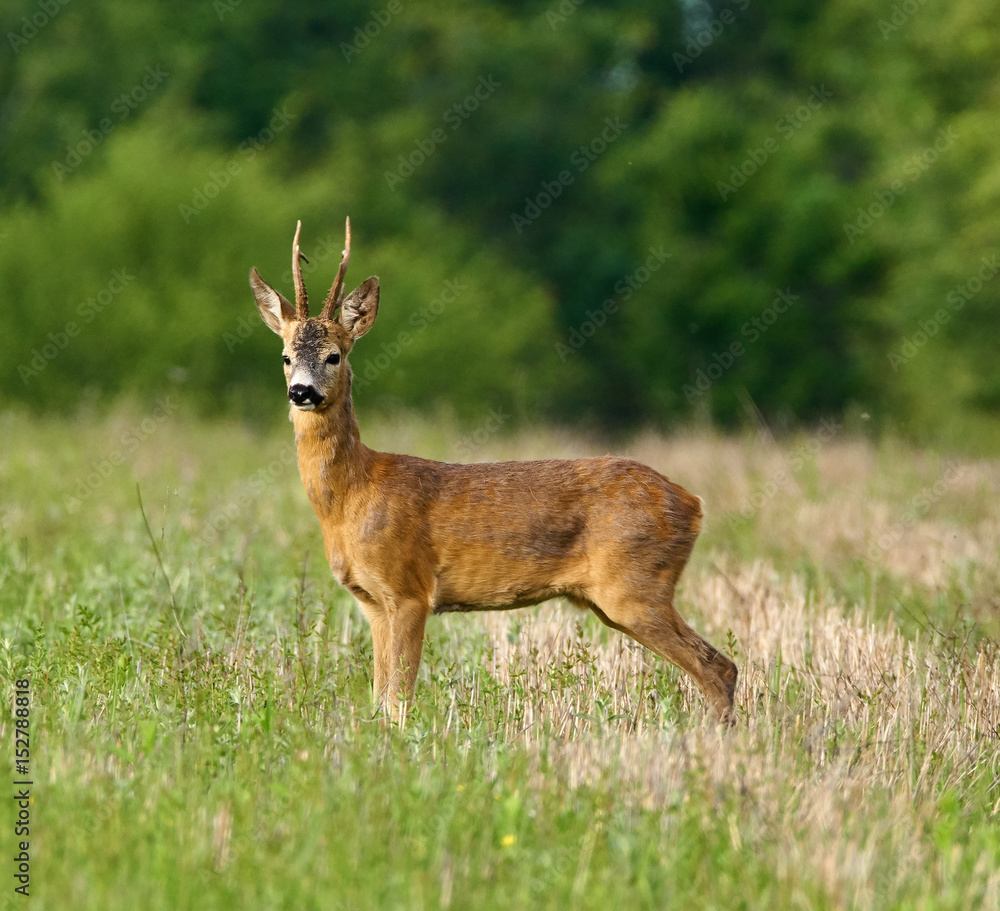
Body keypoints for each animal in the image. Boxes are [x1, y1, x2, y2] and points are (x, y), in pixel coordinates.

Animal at [250, 219, 736, 720]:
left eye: (334, 355)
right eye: (286, 356)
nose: (302, 392)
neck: (352, 497)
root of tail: (694, 503)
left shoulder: (409, 590)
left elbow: (399, 701)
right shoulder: (372, 602)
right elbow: (382, 699)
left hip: (635, 585)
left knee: (718, 667)